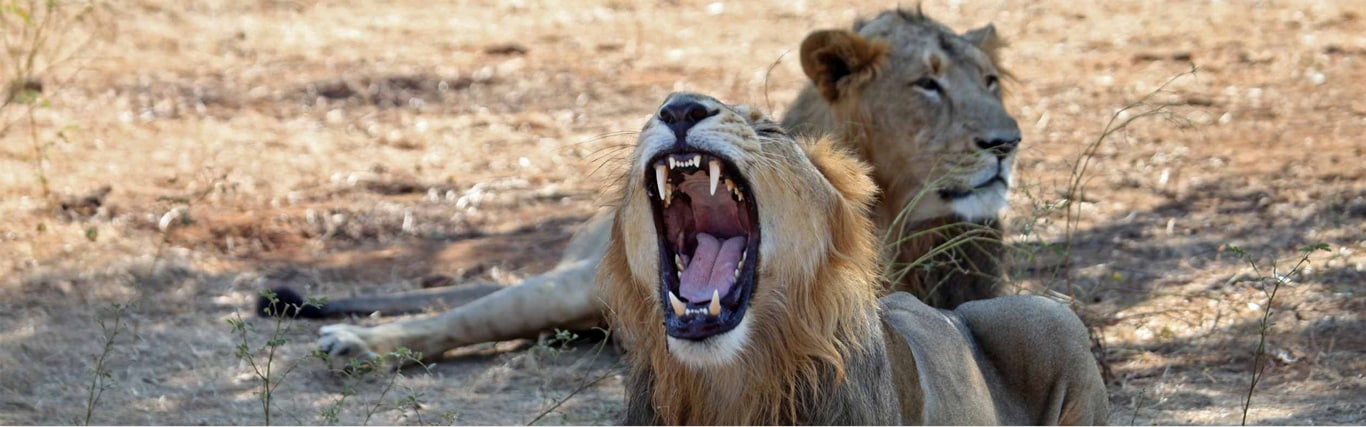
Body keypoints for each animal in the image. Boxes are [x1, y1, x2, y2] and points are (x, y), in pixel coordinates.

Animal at [269, 9, 1026, 364]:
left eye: (990, 81)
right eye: (926, 84)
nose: (1006, 143)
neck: (895, 207)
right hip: (566, 286)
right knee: (464, 315)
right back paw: (357, 343)